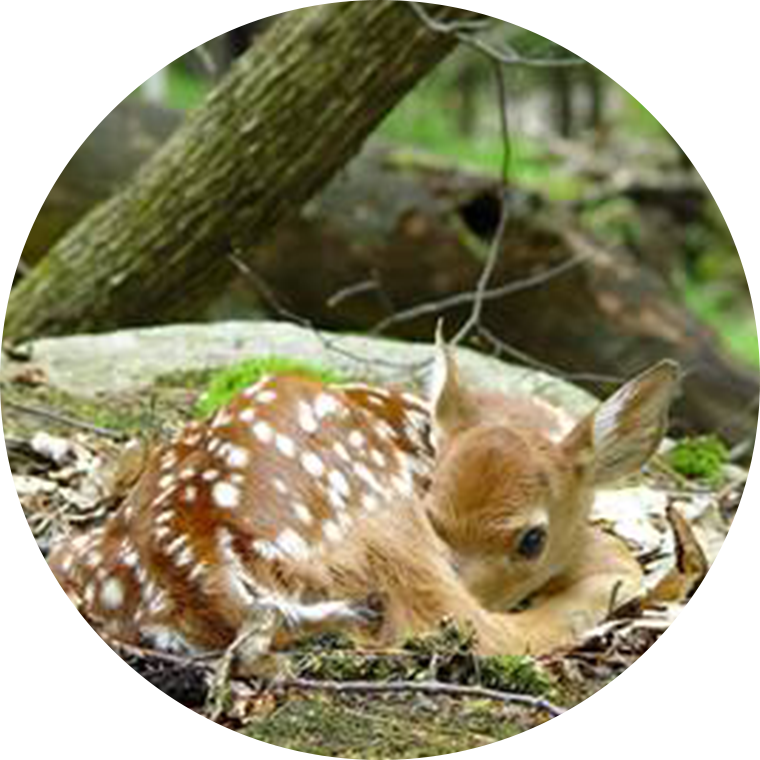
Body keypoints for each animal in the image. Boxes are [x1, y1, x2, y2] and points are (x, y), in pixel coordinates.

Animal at [45, 327, 681, 675]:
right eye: (434, 511)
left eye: (530, 540)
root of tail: (197, 565)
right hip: (378, 517)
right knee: (483, 631)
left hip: (79, 553)